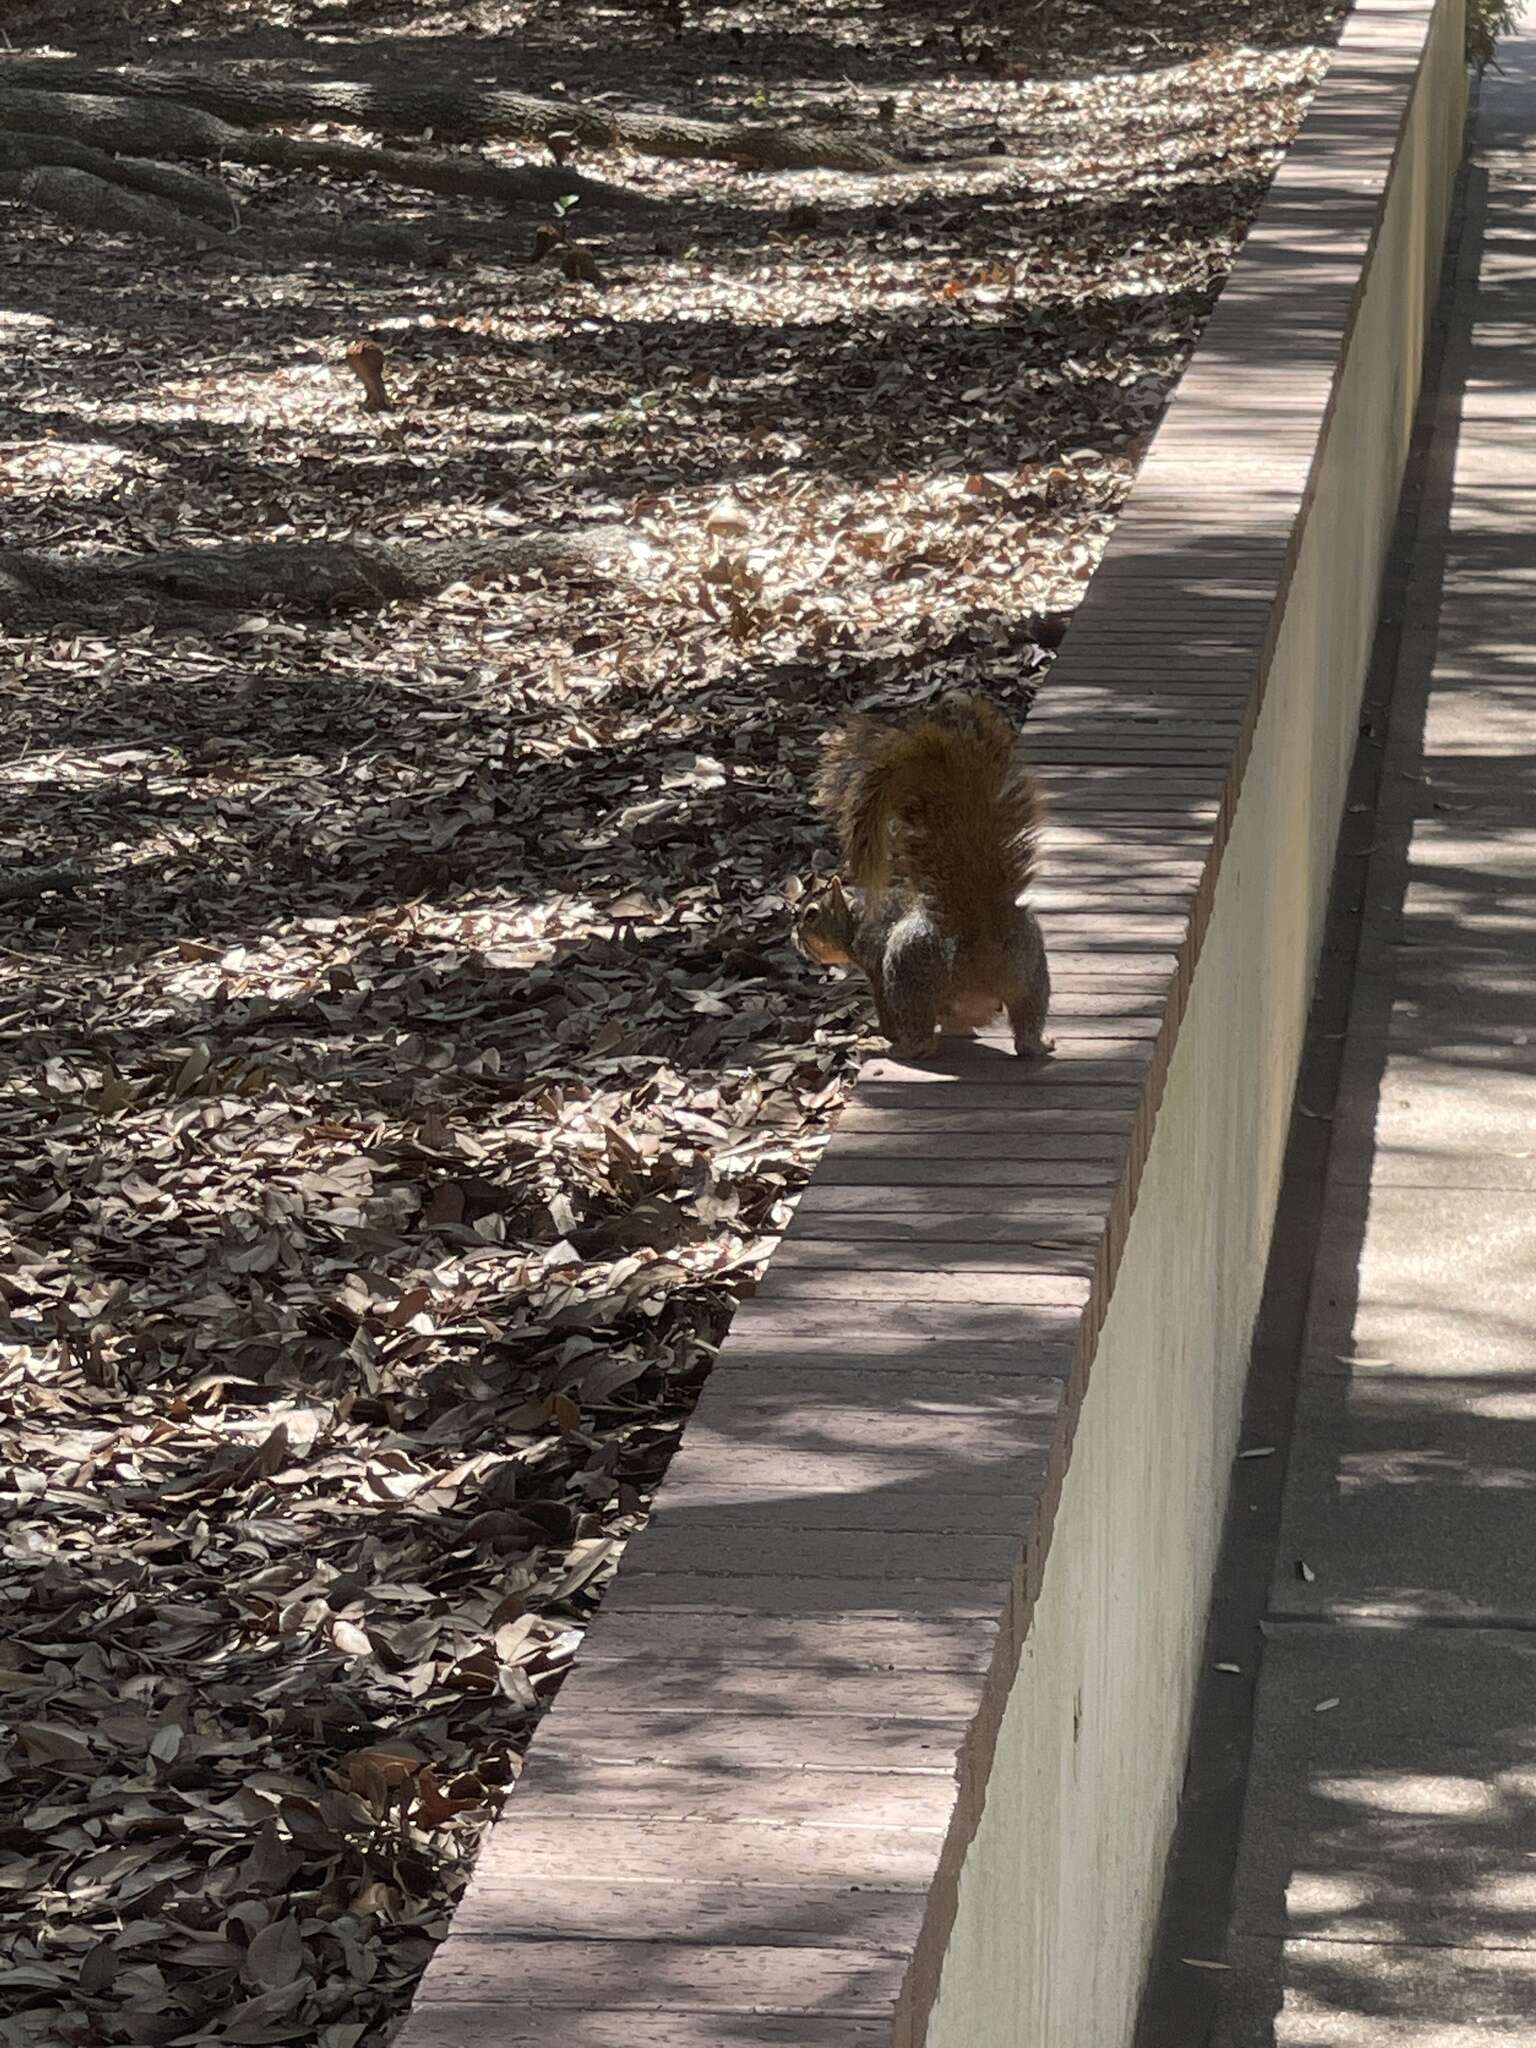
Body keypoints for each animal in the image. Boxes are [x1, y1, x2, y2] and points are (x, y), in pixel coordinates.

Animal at [798, 696, 1056, 1064]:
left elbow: (885, 1011)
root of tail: (981, 935)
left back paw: (888, 1048)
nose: (796, 936)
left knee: (920, 1036)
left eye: (811, 915)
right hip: (1032, 968)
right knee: (1026, 1029)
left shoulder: (875, 964)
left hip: (907, 969)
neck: (856, 915)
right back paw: (1037, 1043)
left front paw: (885, 1035)